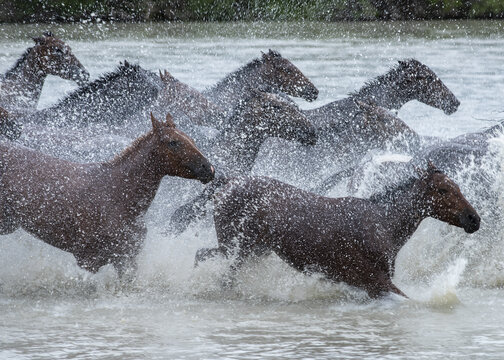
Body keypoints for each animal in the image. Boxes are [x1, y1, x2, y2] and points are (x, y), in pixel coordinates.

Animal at [0, 112, 215, 276]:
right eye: (173, 142)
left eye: (191, 139)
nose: (209, 169)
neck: (117, 195)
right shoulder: (89, 260)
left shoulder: (126, 259)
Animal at [196, 163, 480, 298]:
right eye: (443, 190)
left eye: (457, 186)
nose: (474, 219)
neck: (384, 225)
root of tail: (227, 183)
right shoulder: (376, 282)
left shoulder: (369, 286)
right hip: (236, 248)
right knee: (210, 263)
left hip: (253, 250)